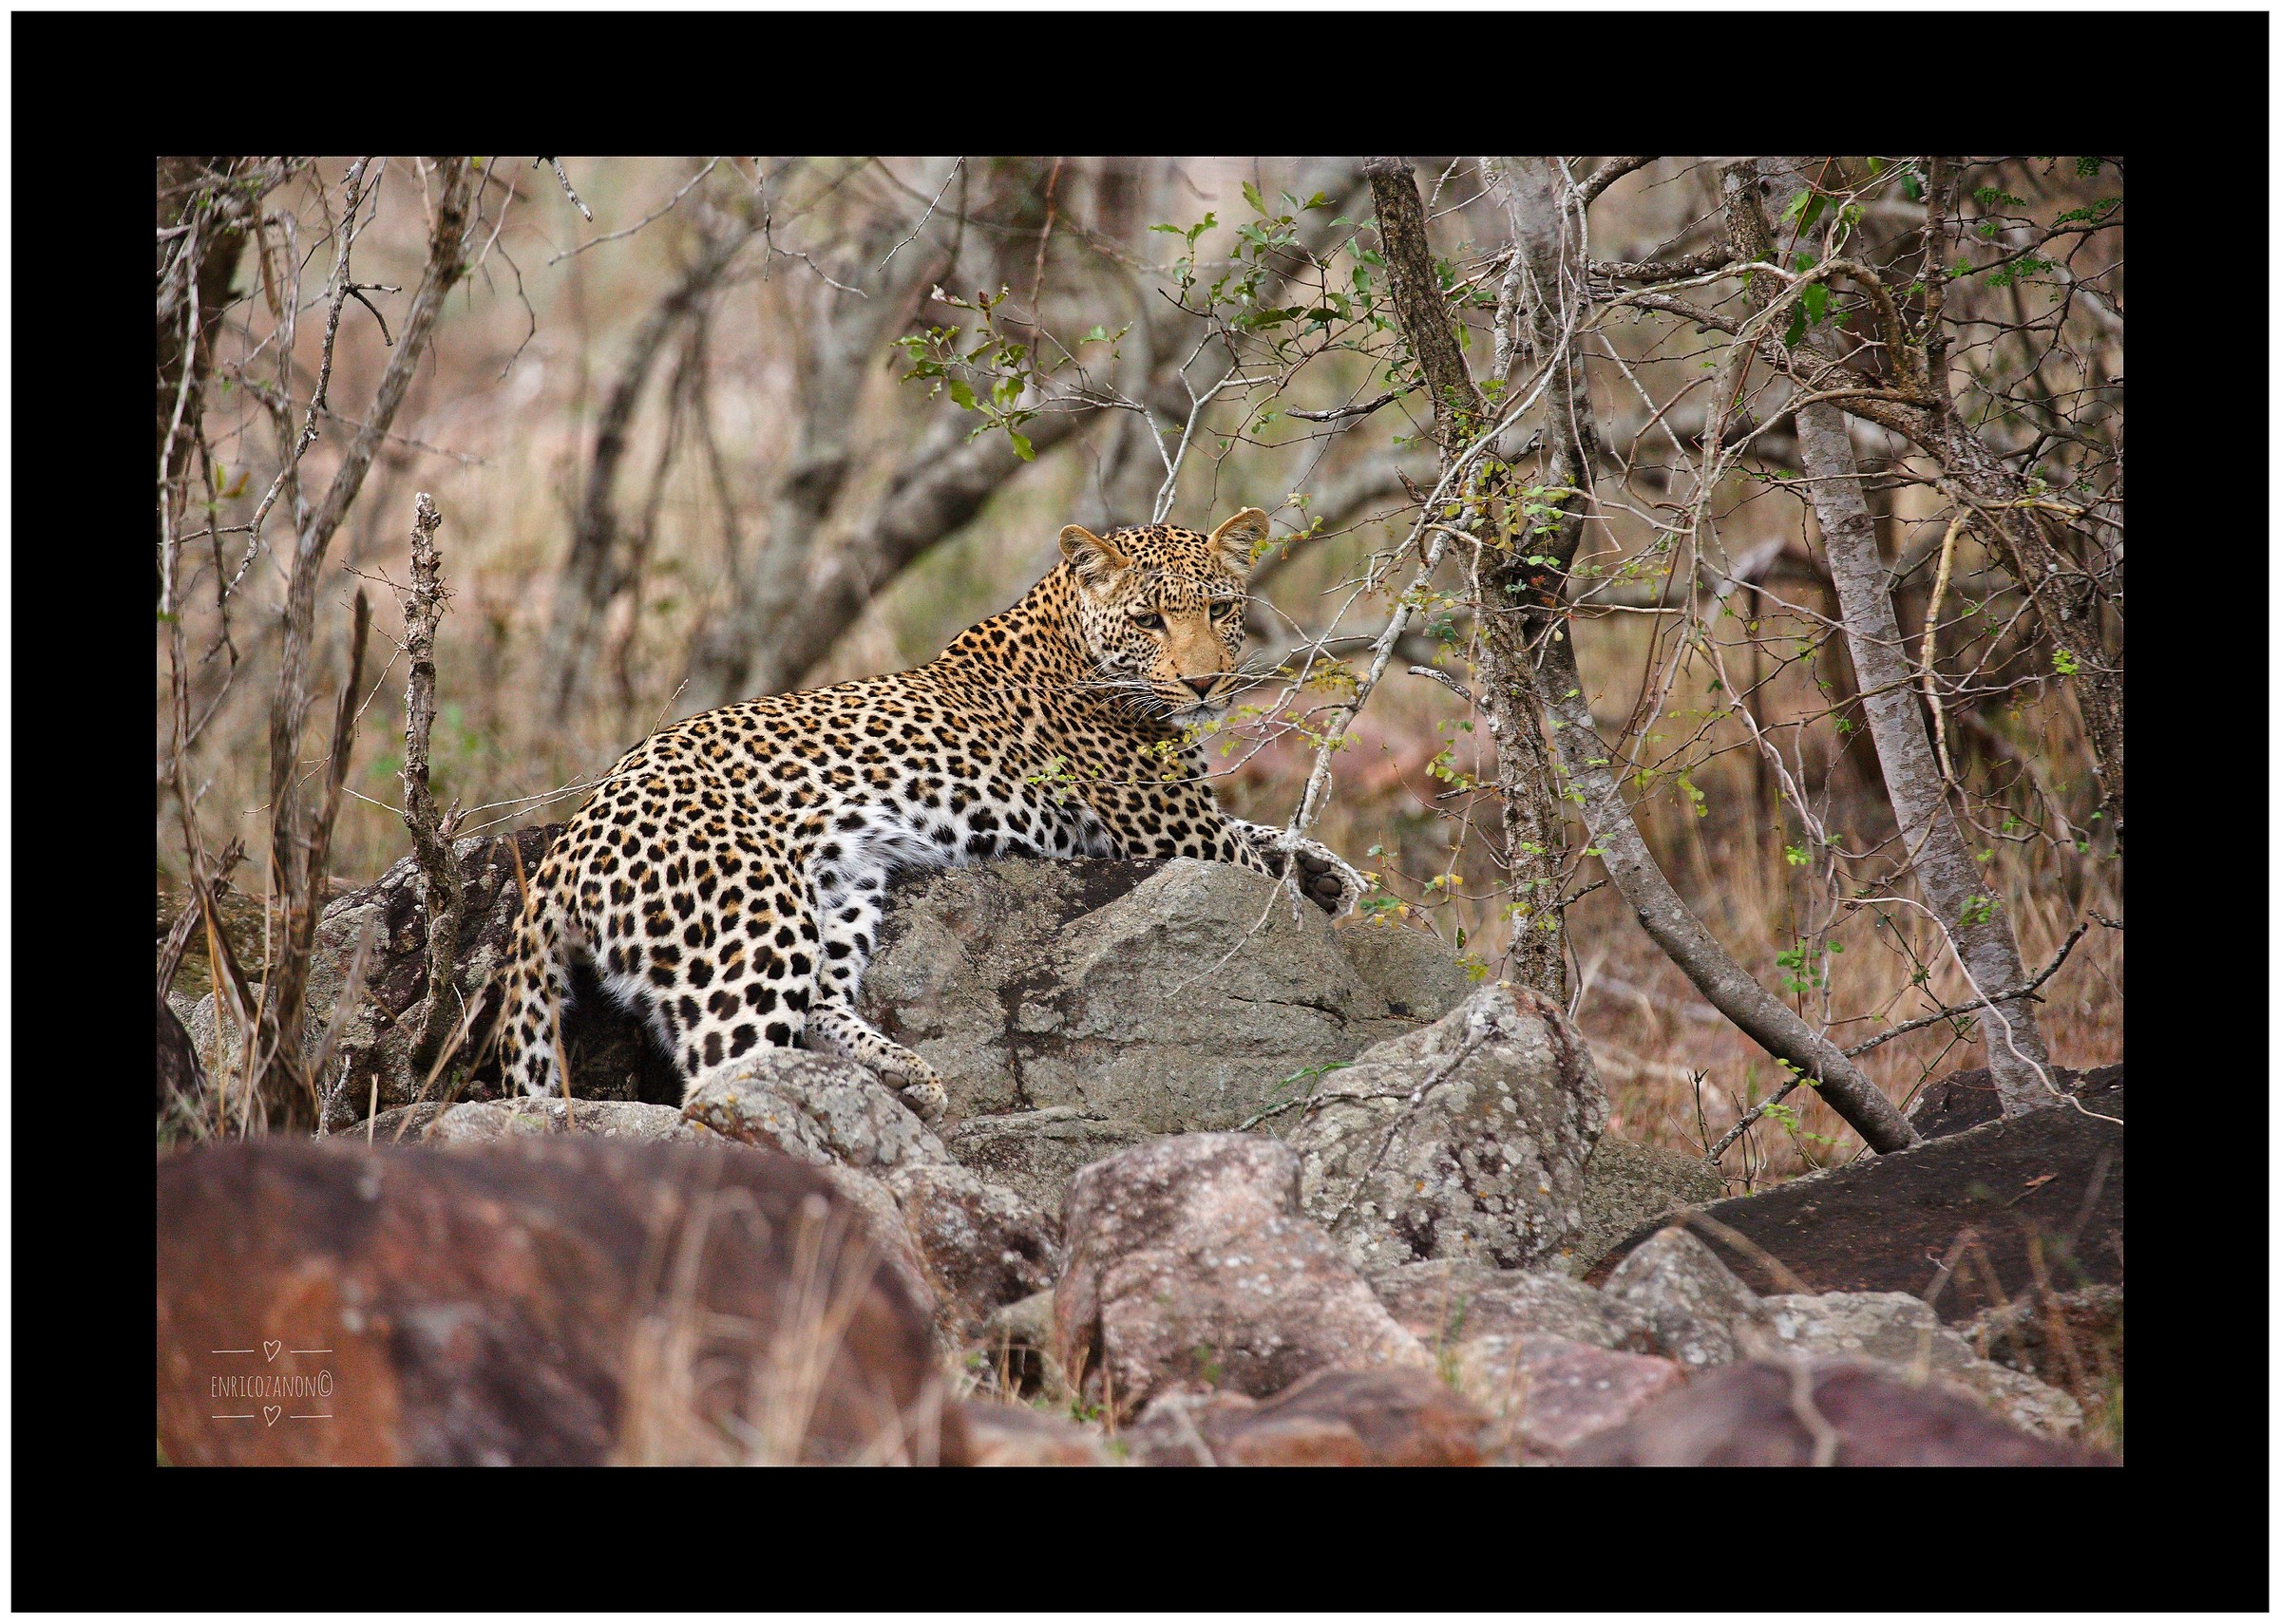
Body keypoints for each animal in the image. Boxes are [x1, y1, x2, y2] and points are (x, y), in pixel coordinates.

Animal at [497, 507, 1370, 1123]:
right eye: (1149, 621)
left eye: (1221, 608)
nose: (1205, 683)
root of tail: (568, 843)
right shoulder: (1173, 826)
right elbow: (1252, 852)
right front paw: (1319, 881)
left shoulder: (1190, 817)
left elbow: (1272, 834)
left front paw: (1333, 874)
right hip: (749, 918)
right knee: (725, 1075)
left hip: (841, 889)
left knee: (818, 1008)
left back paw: (903, 1078)